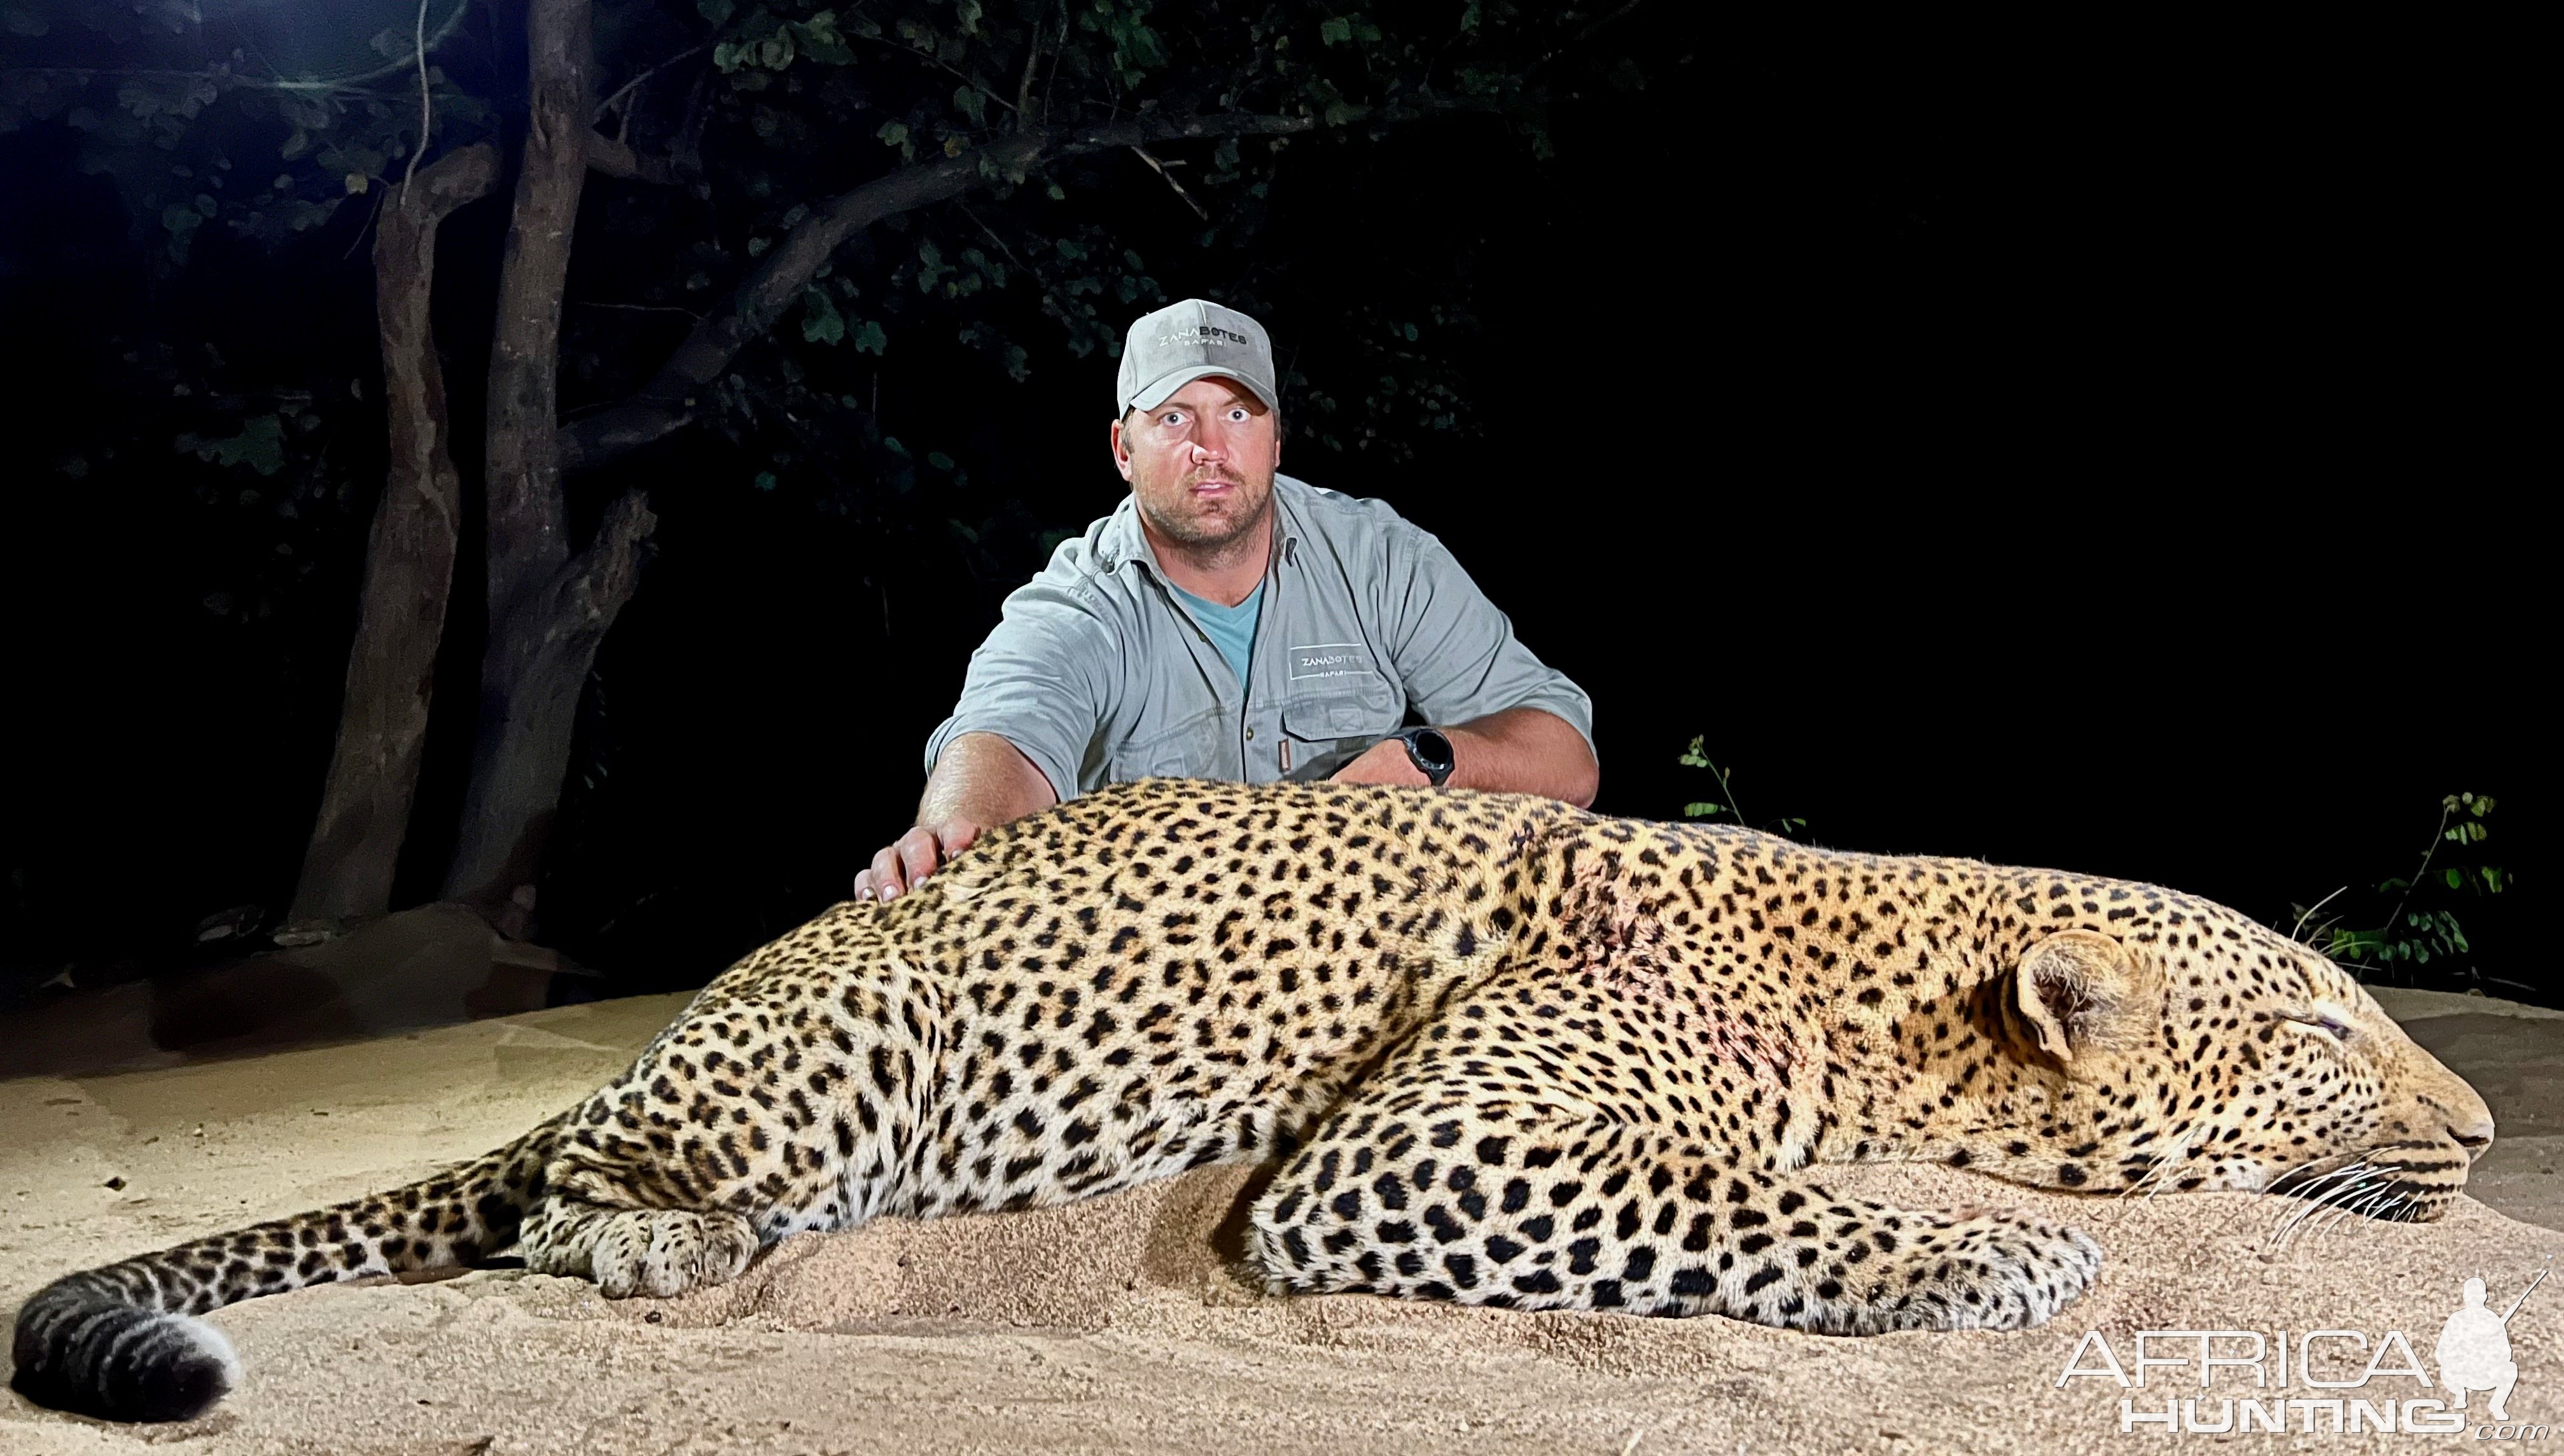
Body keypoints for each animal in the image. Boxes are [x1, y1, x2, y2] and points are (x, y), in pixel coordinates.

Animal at [4, 784, 2482, 1425]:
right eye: (2323, 1024)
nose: (2474, 1127)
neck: (1871, 978)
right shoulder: (1419, 1145)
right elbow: (1780, 1209)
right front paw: (1998, 1250)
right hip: (835, 1058)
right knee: (562, 1200)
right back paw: (661, 1235)